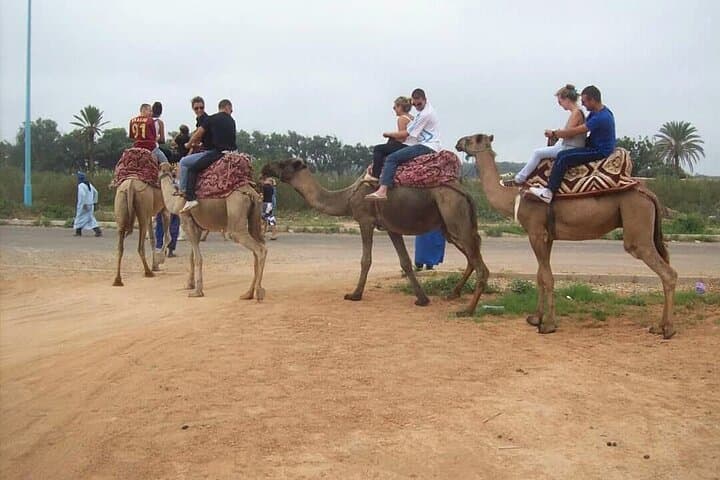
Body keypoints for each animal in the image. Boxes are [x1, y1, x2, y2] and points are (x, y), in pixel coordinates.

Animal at [158, 163, 267, 299]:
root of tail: (251, 193)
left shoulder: (186, 219)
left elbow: (197, 258)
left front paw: (197, 291)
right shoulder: (197, 225)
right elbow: (192, 256)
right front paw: (189, 284)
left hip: (236, 209)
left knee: (258, 248)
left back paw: (258, 292)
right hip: (254, 215)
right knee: (257, 247)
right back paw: (248, 293)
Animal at [261, 159, 490, 314]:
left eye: (283, 163)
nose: (265, 168)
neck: (346, 197)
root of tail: (466, 193)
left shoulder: (365, 220)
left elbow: (366, 260)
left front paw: (354, 295)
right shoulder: (391, 227)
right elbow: (405, 262)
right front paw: (422, 299)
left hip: (454, 214)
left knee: (479, 263)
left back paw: (467, 310)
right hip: (448, 226)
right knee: (473, 253)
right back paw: (453, 293)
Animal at [456, 134, 677, 338]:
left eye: (475, 138)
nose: (458, 143)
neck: (514, 197)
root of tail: (648, 193)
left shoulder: (536, 232)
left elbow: (547, 277)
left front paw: (548, 325)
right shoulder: (547, 235)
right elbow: (540, 275)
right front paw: (535, 318)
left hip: (636, 227)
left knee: (667, 272)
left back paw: (668, 329)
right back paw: (660, 326)